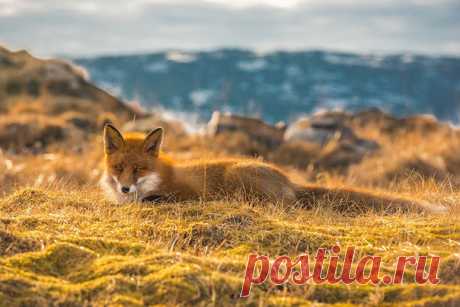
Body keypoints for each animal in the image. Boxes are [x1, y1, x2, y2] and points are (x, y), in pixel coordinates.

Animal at [99, 124, 446, 215]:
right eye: (119, 168)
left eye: (138, 169)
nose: (125, 188)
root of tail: (289, 180)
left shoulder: (183, 193)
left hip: (238, 177)